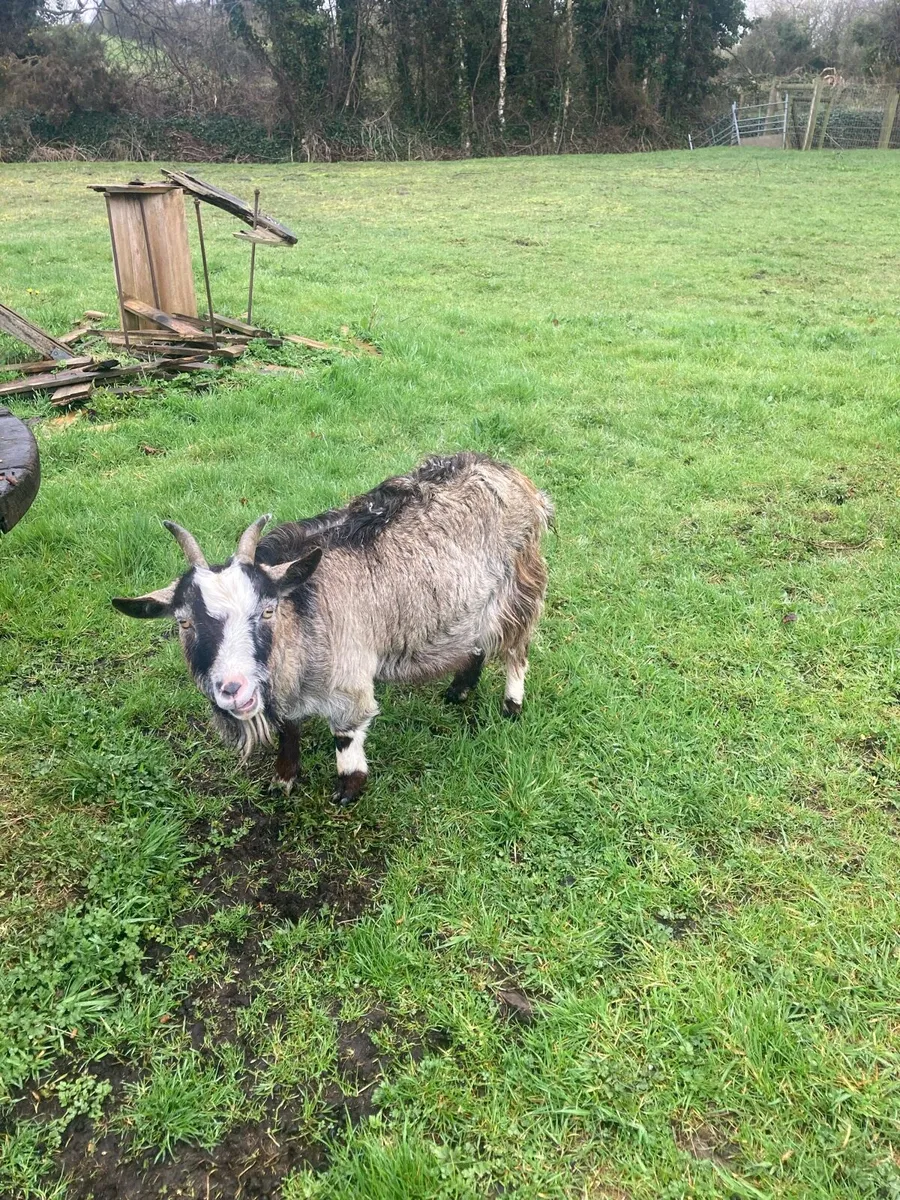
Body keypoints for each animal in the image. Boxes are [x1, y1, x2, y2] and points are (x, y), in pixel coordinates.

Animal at [112, 452, 553, 803]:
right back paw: (459, 690)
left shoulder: (347, 678)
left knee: (516, 649)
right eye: (184, 622)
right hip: (471, 601)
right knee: (477, 642)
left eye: (267, 611)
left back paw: (511, 705)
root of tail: (511, 475)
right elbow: (289, 730)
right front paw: (283, 780)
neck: (303, 612)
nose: (233, 689)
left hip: (519, 587)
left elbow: (346, 733)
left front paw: (348, 790)